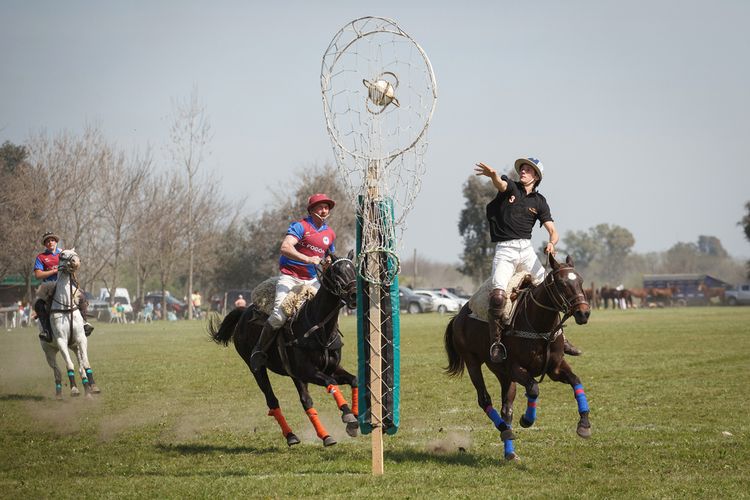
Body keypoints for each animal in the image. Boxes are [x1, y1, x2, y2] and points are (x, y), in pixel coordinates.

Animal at [39, 249, 100, 398]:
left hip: (74, 346)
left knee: (80, 368)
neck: (66, 305)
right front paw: (74, 389)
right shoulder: (61, 341)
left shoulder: (81, 339)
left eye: (75, 253)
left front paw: (93, 387)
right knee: (57, 371)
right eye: (62, 255)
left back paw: (87, 389)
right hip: (48, 351)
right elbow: (69, 365)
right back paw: (59, 394)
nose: (76, 261)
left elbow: (85, 364)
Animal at [209, 252, 362, 448]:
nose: (354, 295)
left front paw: (354, 421)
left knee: (305, 401)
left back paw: (324, 435)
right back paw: (291, 435)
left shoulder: (331, 368)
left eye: (354, 270)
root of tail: (244, 311)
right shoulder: (307, 371)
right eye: (336, 272)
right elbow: (331, 383)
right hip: (257, 369)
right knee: (273, 400)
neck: (319, 328)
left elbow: (354, 380)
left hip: (295, 375)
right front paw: (348, 415)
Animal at [446, 254, 592, 460]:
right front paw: (527, 419)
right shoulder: (516, 368)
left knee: (506, 408)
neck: (540, 326)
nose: (583, 313)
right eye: (562, 283)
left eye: (580, 281)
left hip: (502, 374)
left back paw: (509, 450)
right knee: (484, 400)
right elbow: (534, 388)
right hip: (472, 361)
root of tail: (458, 316)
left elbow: (576, 381)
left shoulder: (554, 368)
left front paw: (584, 425)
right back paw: (505, 430)